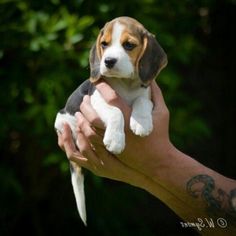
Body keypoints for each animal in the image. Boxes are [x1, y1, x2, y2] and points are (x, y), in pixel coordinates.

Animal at [54, 16, 167, 225]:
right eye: (104, 44)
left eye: (129, 45)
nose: (108, 61)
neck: (126, 84)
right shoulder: (95, 99)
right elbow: (116, 111)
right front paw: (115, 139)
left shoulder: (147, 95)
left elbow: (141, 102)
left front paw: (141, 123)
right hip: (61, 118)